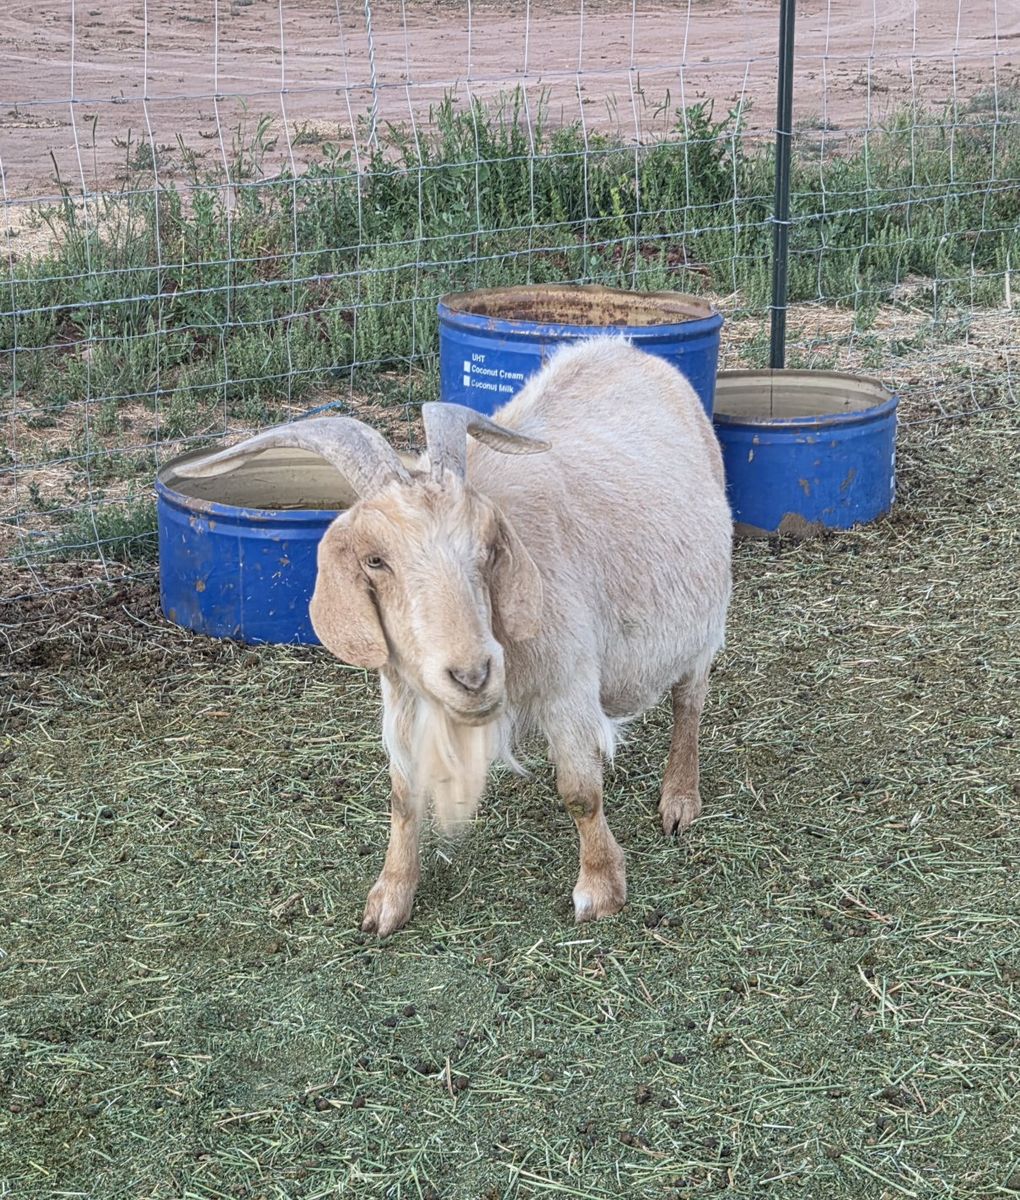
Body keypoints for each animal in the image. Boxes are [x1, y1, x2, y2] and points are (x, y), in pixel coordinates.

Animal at [175, 337, 732, 935]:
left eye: (487, 548)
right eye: (375, 560)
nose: (472, 675)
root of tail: (623, 347)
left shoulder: (568, 683)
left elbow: (581, 793)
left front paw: (601, 889)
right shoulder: (403, 691)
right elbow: (402, 795)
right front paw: (389, 898)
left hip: (706, 616)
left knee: (689, 701)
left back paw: (680, 800)